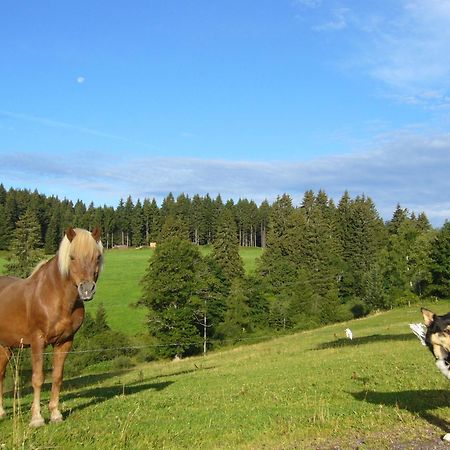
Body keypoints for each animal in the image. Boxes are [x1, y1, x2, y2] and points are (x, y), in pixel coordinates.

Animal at [0, 227, 102, 428]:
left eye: (97, 257)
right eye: (72, 257)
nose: (87, 289)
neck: (53, 296)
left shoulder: (64, 342)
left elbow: (57, 376)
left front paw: (55, 414)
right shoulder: (37, 342)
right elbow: (38, 379)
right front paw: (37, 418)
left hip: (5, 347)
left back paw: (0, 413)